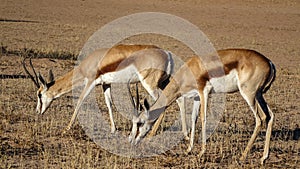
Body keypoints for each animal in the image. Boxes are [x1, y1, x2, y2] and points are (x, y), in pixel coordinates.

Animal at [22, 44, 173, 133]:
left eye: (39, 95)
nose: (38, 111)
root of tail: (166, 52)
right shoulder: (106, 84)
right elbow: (109, 104)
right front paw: (113, 129)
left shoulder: (90, 82)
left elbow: (80, 100)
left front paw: (67, 128)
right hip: (164, 82)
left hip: (149, 84)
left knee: (164, 102)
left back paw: (152, 133)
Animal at [130, 48, 276, 164]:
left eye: (140, 123)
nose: (131, 141)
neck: (190, 69)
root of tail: (269, 62)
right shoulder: (196, 97)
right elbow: (193, 118)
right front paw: (189, 149)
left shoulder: (204, 92)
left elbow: (203, 118)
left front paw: (201, 152)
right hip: (259, 95)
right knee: (270, 116)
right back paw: (264, 157)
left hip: (249, 94)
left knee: (260, 118)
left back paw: (243, 156)